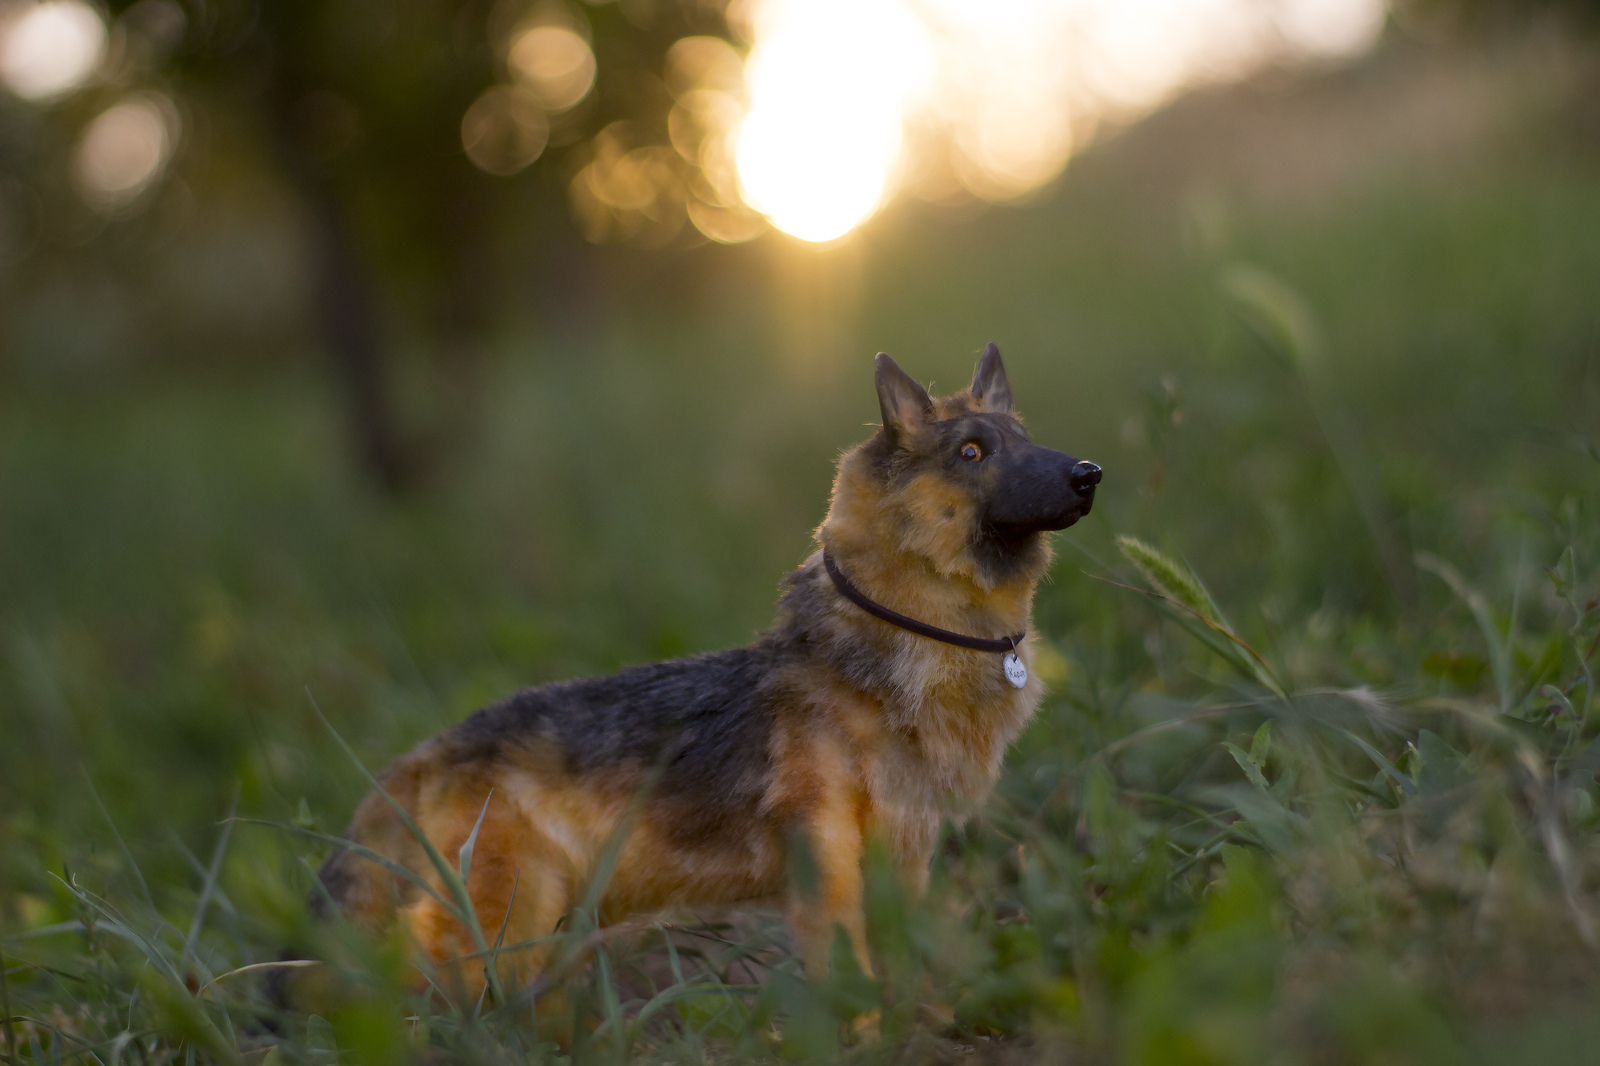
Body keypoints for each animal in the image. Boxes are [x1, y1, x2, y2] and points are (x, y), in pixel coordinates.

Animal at [305, 347, 1100, 998]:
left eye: (1027, 441)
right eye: (972, 451)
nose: (1089, 473)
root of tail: (427, 751)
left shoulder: (904, 859)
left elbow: (899, 970)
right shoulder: (826, 863)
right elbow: (847, 977)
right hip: (506, 925)